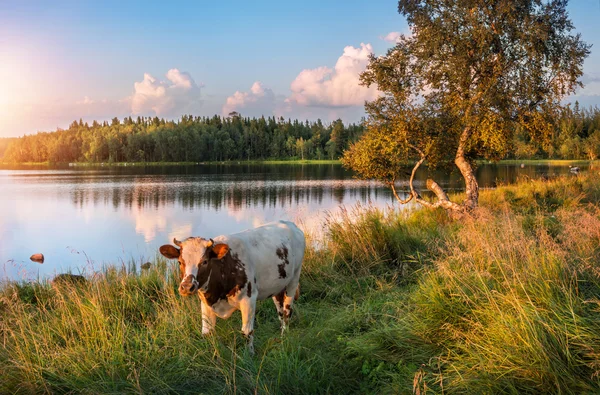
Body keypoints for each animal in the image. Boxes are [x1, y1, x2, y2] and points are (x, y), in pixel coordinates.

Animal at [159, 221, 304, 354]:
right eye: (180, 262)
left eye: (204, 261)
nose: (187, 287)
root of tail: (289, 224)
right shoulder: (205, 304)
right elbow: (207, 332)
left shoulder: (249, 299)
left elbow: (247, 332)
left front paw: (249, 356)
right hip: (277, 286)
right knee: (280, 310)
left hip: (294, 279)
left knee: (287, 311)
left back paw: (285, 336)